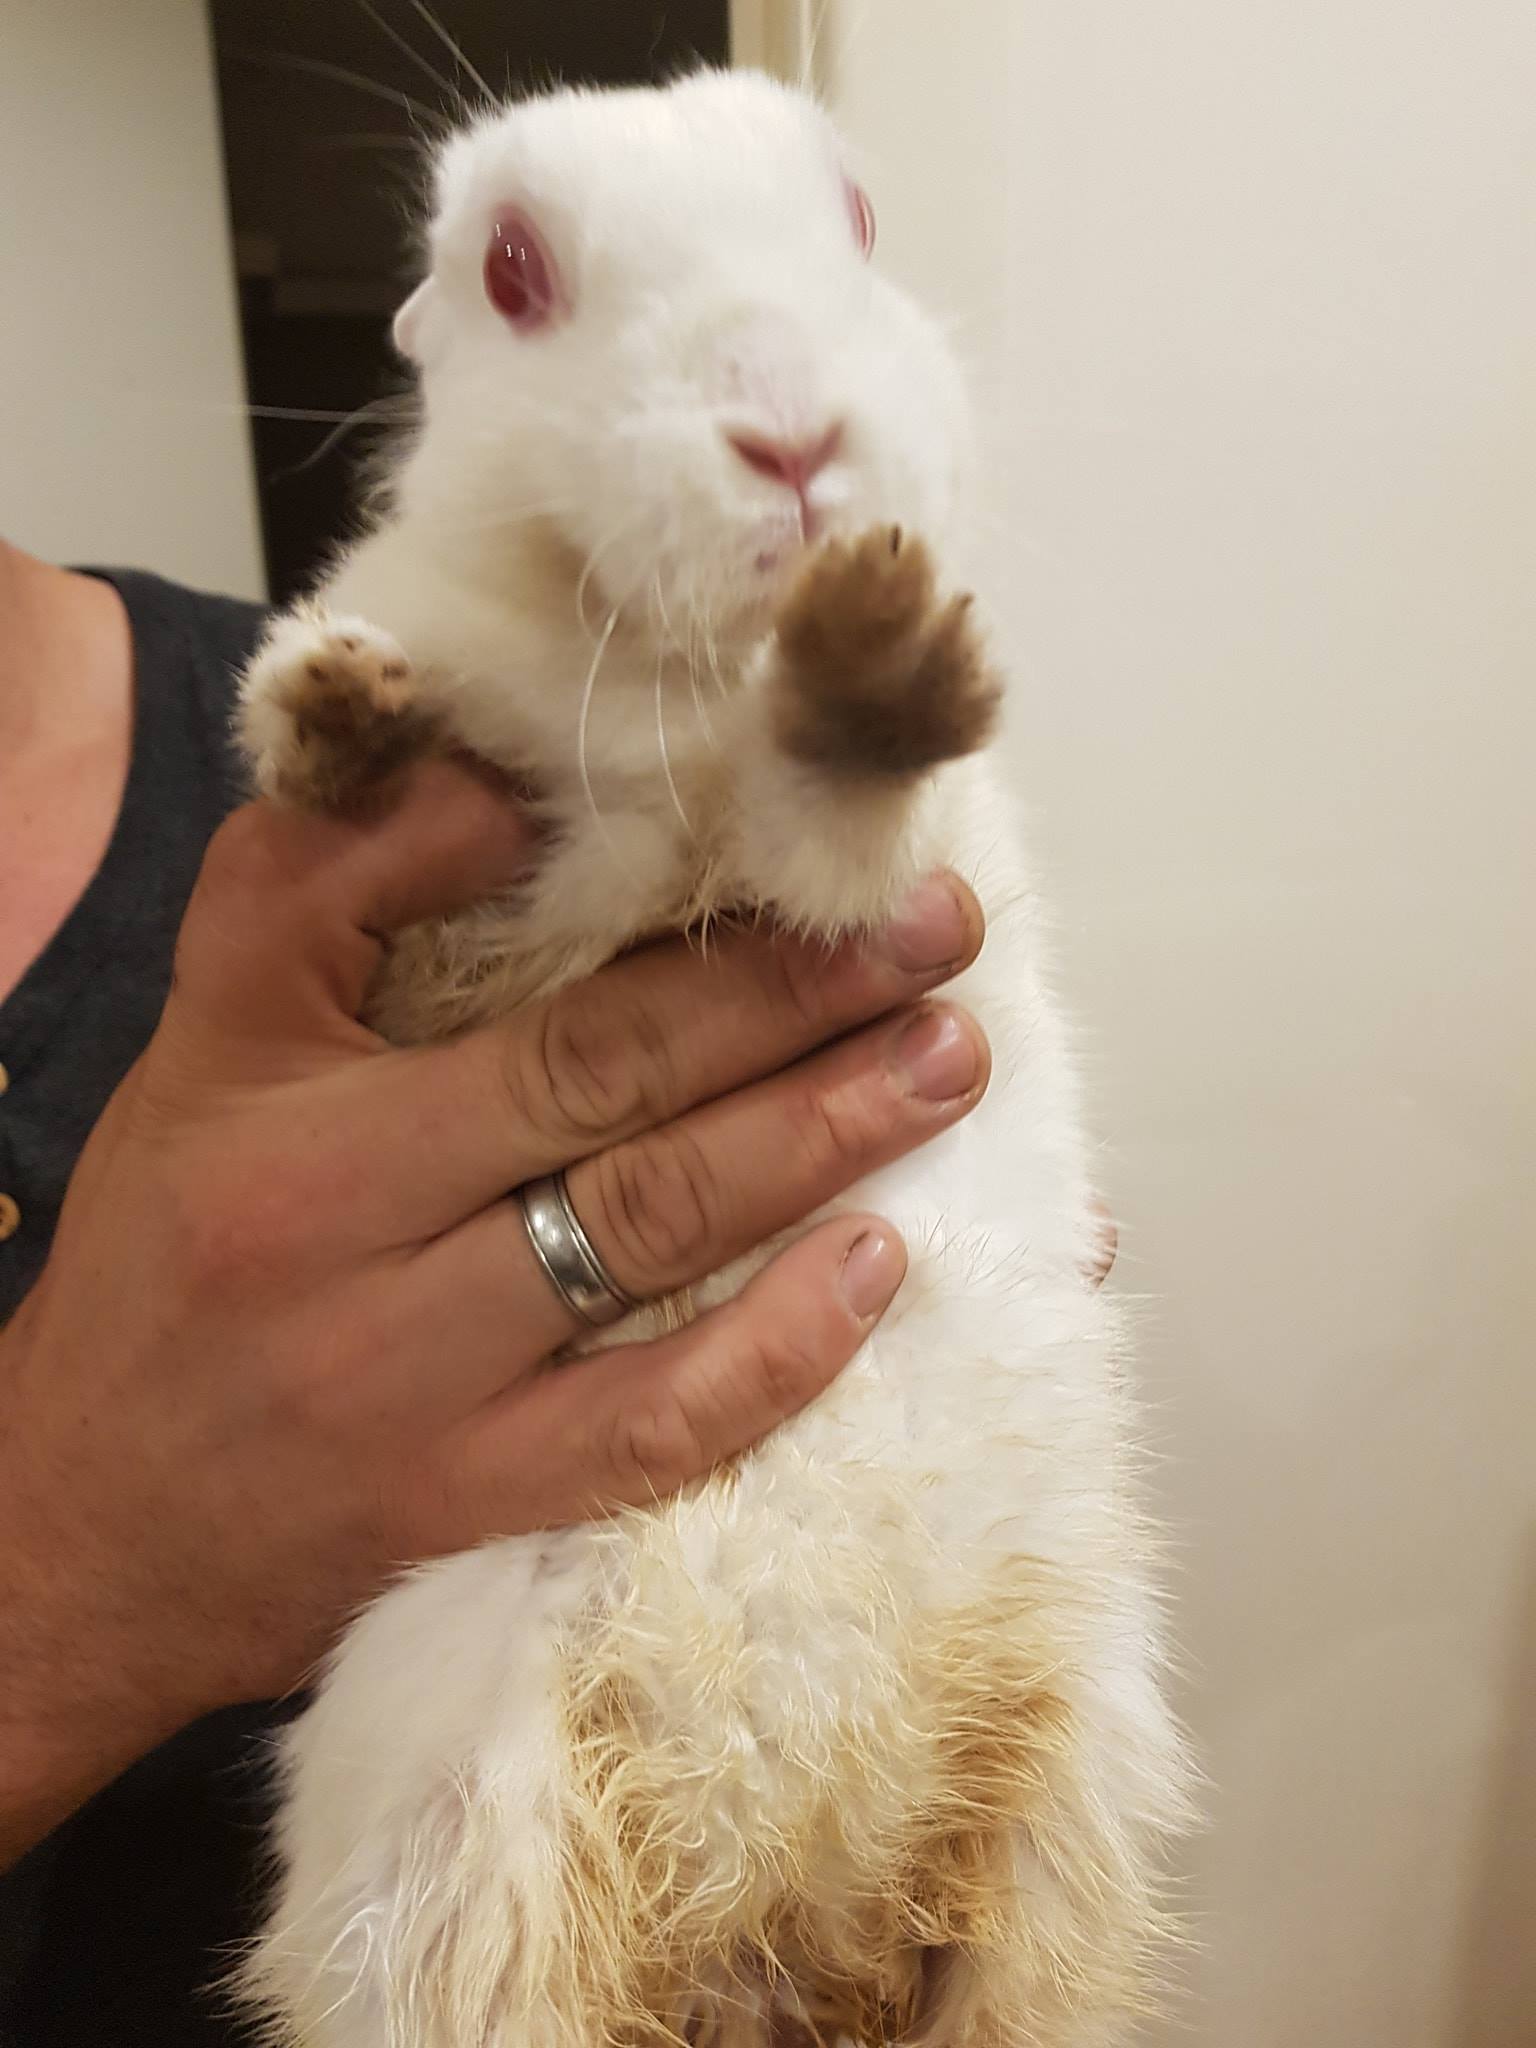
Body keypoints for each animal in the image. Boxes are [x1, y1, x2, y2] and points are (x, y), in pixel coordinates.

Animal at [234, 67, 1189, 2048]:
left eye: (859, 219)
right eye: (512, 270)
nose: (792, 436)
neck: (678, 696)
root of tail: (786, 1915)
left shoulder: (842, 885)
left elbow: (829, 803)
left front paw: (883, 644)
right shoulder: (489, 951)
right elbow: (448, 909)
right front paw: (342, 708)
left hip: (1077, 1807)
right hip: (463, 1864)